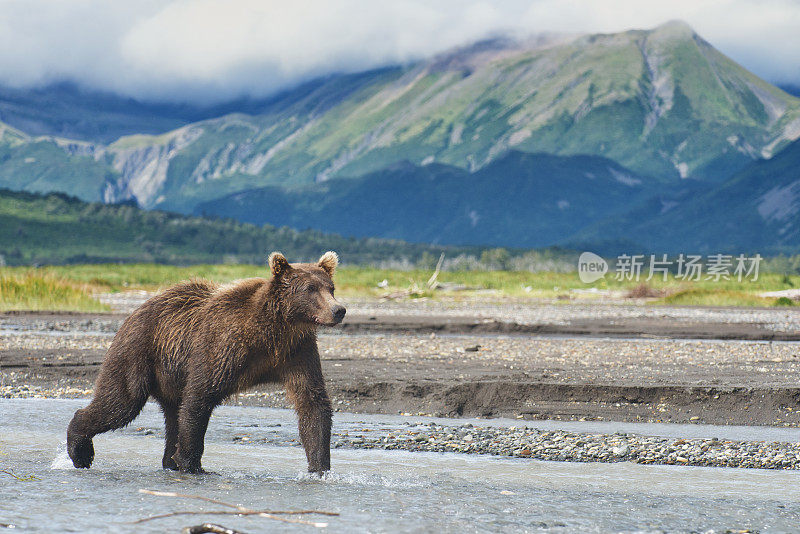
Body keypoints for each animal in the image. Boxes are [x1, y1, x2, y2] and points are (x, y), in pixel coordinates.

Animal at [66, 253, 344, 476]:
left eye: (330, 287)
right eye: (310, 288)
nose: (338, 310)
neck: (272, 331)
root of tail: (134, 311)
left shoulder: (296, 352)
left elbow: (312, 401)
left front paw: (320, 468)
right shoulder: (224, 346)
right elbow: (200, 395)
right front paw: (192, 464)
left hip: (169, 375)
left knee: (171, 415)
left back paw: (168, 461)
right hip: (138, 351)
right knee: (121, 402)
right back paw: (81, 451)